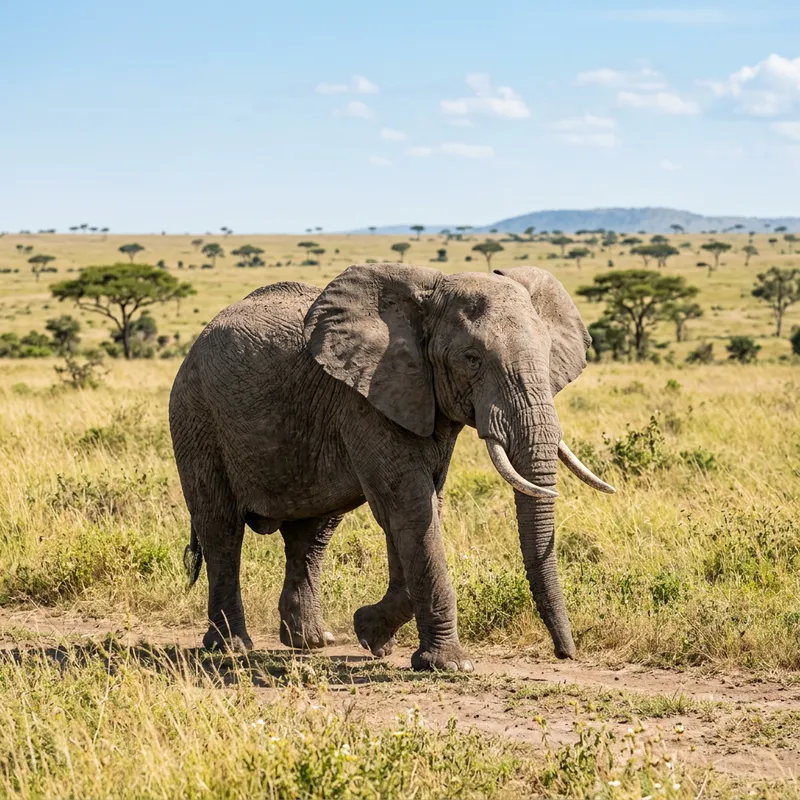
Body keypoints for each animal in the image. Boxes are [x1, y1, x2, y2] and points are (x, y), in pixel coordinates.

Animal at [169, 263, 614, 671]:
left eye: (547, 355)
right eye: (471, 358)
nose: (565, 654)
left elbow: (420, 510)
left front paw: (372, 636)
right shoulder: (365, 399)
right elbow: (409, 508)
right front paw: (447, 665)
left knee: (312, 534)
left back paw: (312, 642)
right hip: (195, 415)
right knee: (221, 528)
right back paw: (231, 647)